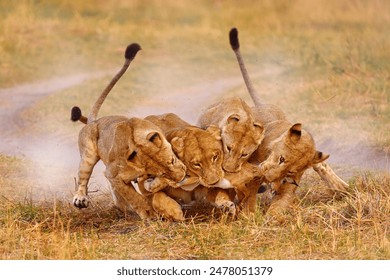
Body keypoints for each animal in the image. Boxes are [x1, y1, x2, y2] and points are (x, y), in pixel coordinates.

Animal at [71, 43, 187, 220]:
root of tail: (95, 121)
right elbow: (133, 196)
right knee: (83, 177)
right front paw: (148, 214)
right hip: (88, 155)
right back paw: (81, 199)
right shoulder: (113, 174)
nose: (182, 177)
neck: (135, 141)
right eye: (160, 175)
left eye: (172, 160)